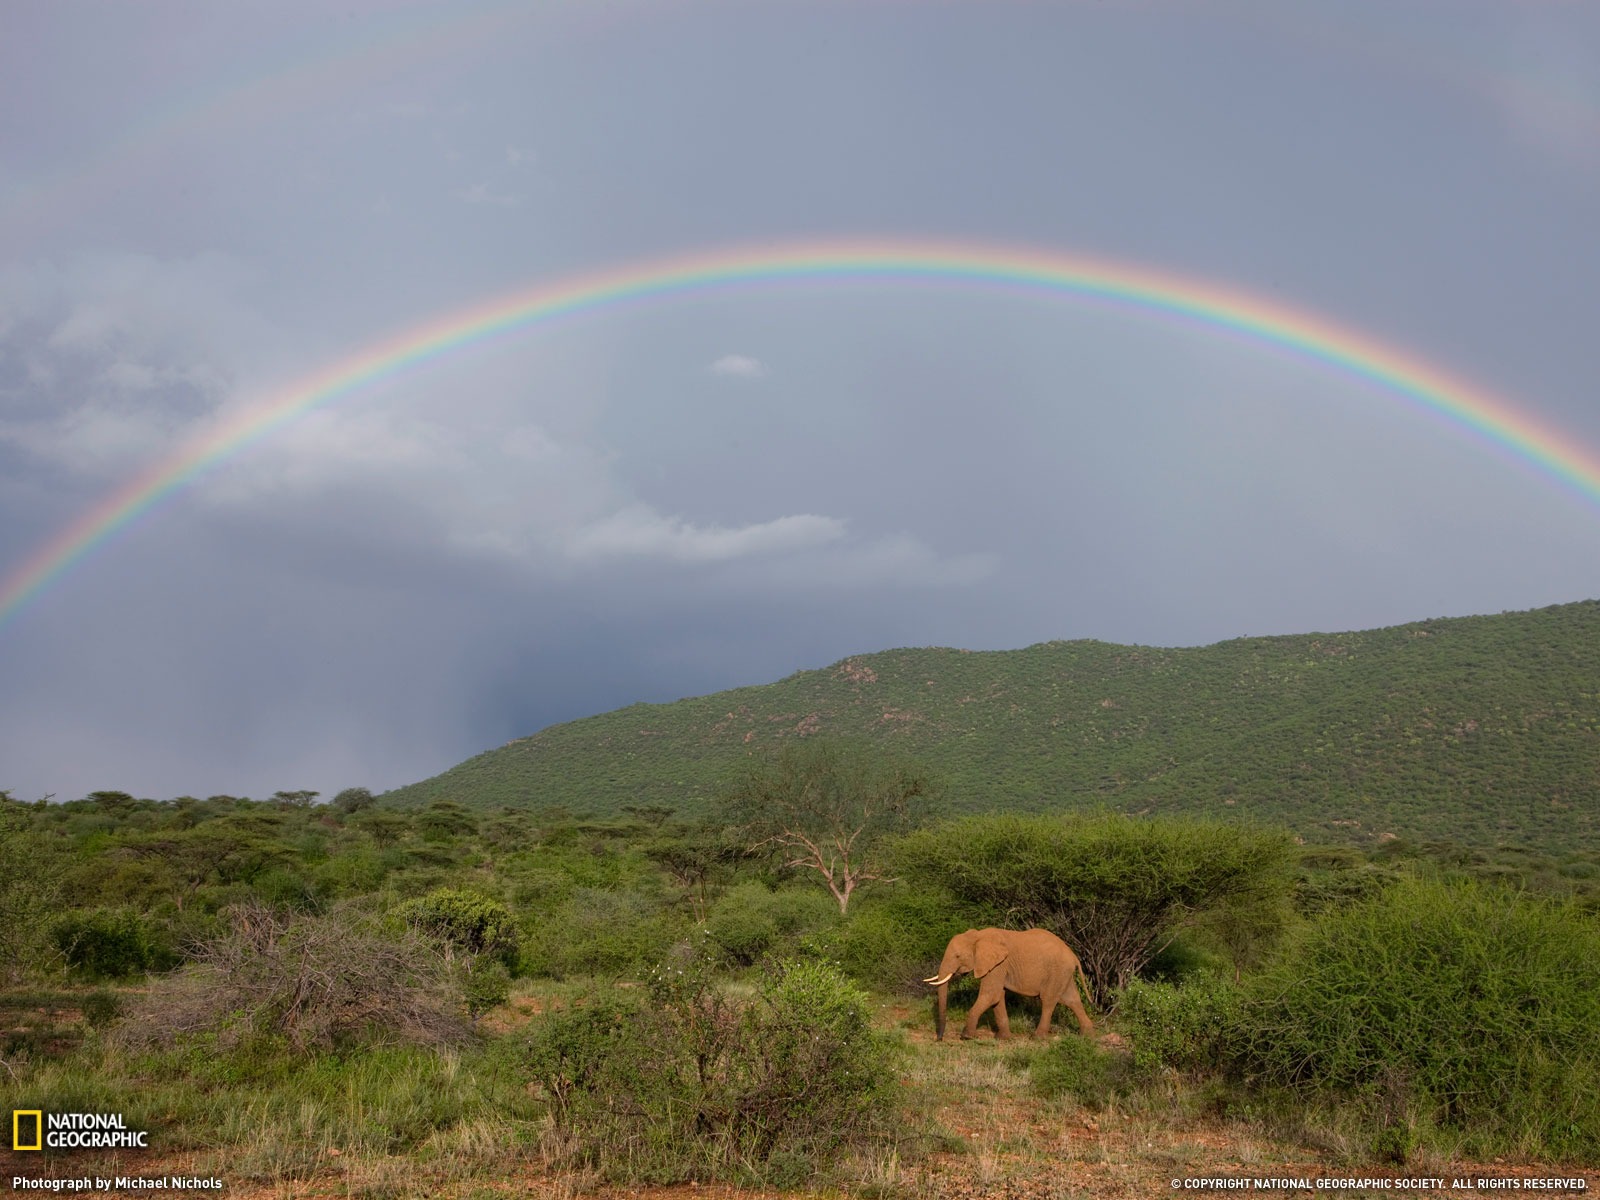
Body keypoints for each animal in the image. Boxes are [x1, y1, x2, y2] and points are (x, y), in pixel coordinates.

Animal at [921, 928, 1094, 1043]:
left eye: (957, 956)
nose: (939, 1039)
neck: (978, 935)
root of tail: (1073, 956)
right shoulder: (998, 966)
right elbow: (997, 998)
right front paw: (1002, 1038)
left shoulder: (998, 965)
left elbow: (990, 995)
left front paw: (966, 1037)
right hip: (1063, 973)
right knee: (1072, 1000)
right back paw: (1087, 1034)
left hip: (1057, 971)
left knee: (1048, 1001)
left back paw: (1036, 1037)